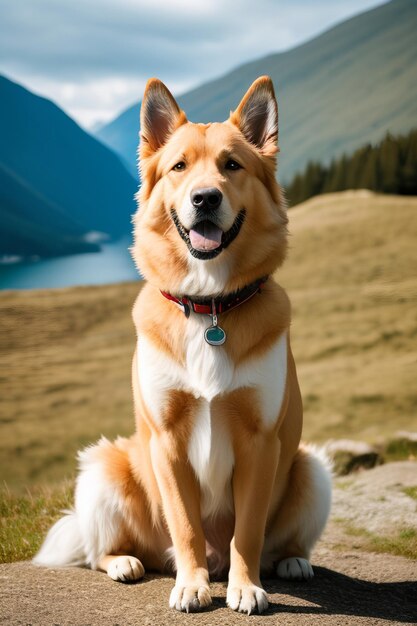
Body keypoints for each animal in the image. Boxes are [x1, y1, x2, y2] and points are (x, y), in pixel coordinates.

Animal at [33, 75, 332, 612]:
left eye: (232, 165)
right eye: (179, 166)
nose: (205, 199)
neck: (210, 305)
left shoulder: (261, 441)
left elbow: (247, 531)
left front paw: (246, 586)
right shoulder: (167, 439)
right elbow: (187, 524)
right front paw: (191, 585)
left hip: (311, 467)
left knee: (282, 539)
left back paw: (292, 561)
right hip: (102, 469)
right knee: (101, 550)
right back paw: (126, 563)